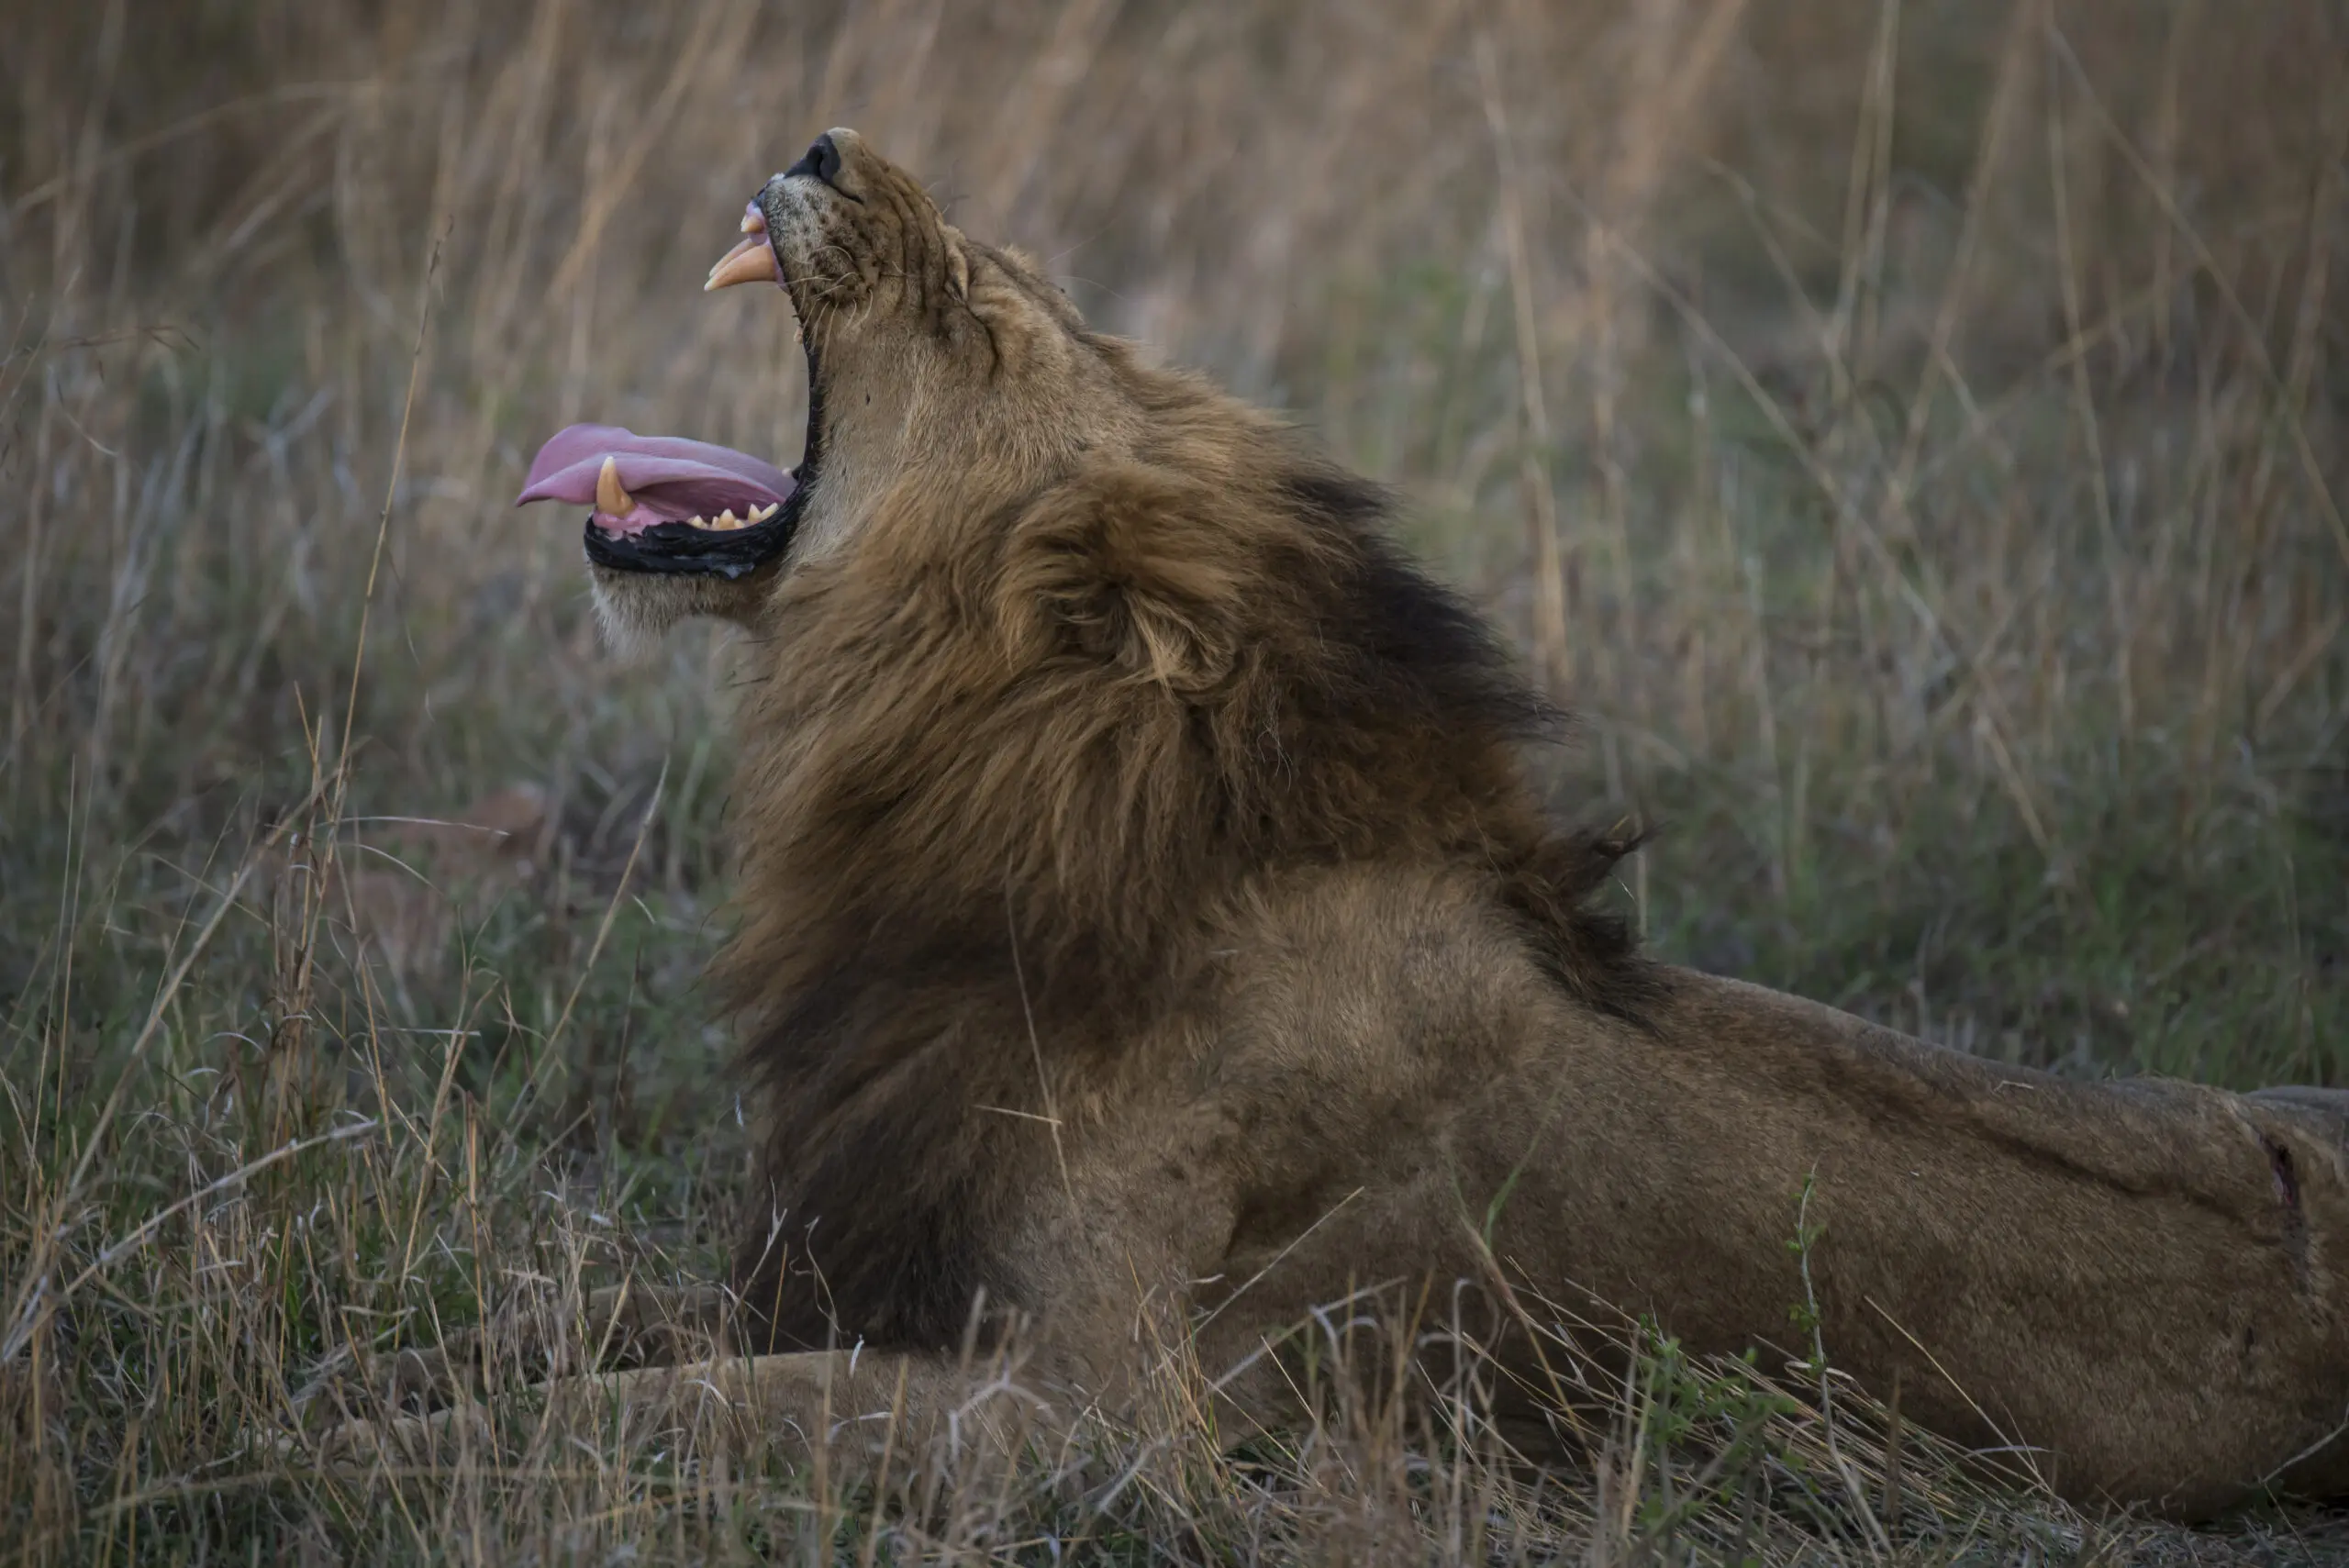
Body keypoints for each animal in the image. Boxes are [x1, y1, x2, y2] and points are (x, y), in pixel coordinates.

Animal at [476, 128, 2349, 1520]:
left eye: (980, 318)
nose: (826, 146)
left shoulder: (1090, 1412)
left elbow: (660, 1406)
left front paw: (403, 1455)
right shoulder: (853, 1259)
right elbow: (578, 1330)